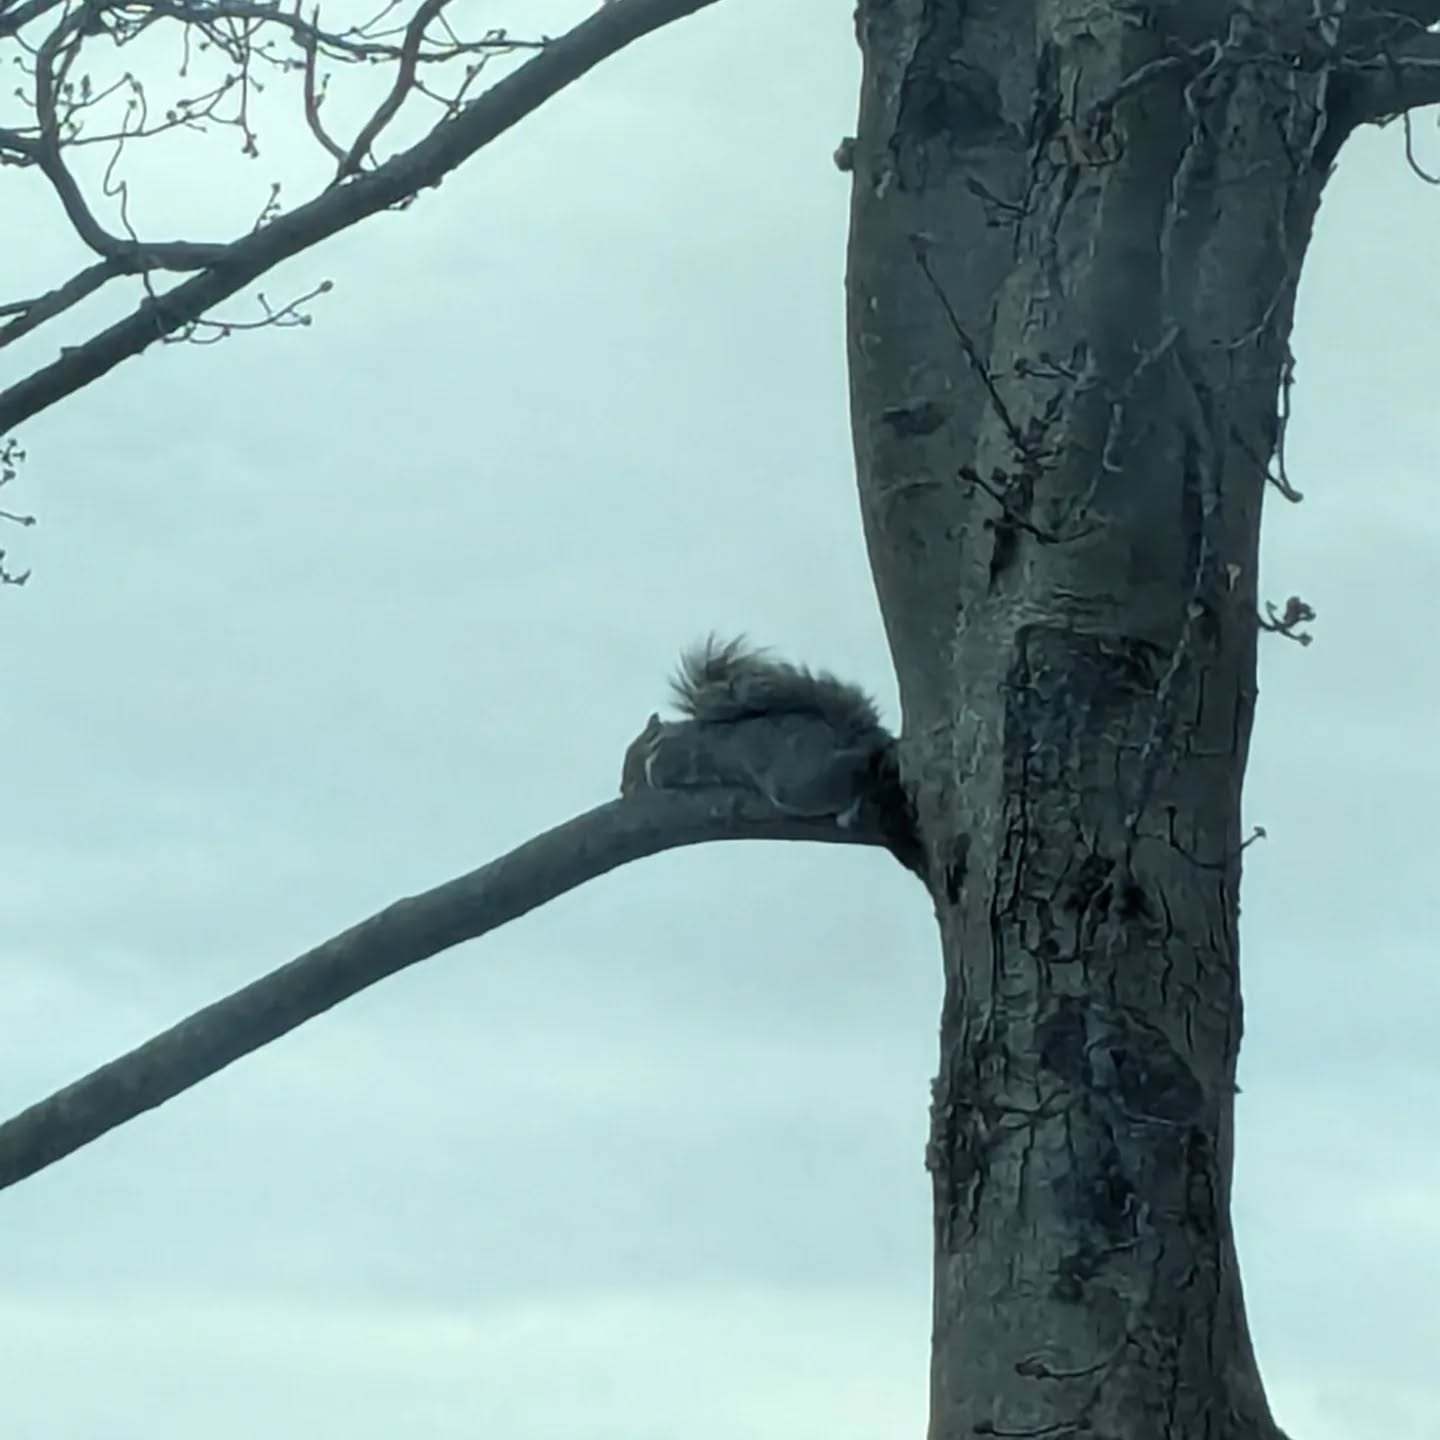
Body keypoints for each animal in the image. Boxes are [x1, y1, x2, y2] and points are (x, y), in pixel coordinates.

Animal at [619, 635, 896, 826]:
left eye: (631, 759)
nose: (622, 789)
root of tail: (846, 736)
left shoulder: (675, 757)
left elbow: (660, 773)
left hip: (797, 783)